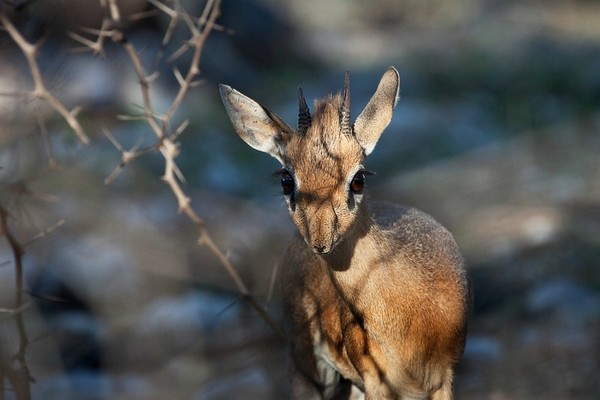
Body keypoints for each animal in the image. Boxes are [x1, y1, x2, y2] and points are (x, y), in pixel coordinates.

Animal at [220, 67, 468, 398]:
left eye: (358, 179)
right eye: (287, 181)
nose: (320, 241)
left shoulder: (443, 378)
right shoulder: (375, 381)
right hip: (306, 366)